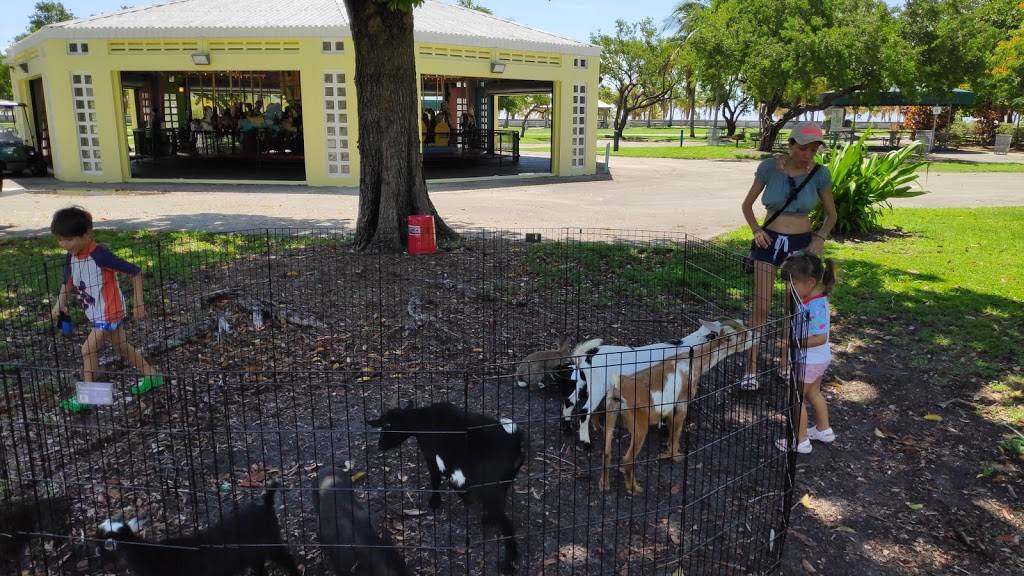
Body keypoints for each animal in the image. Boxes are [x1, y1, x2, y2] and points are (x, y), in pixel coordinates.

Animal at [96, 481, 299, 573]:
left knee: (287, 559)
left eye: (101, 540)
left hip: (271, 542)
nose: (97, 552)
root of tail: (266, 505)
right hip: (256, 552)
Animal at [368, 401, 524, 569]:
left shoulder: (432, 456)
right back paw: (487, 519)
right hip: (504, 479)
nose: (380, 445)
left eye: (387, 426)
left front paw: (435, 502)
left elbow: (436, 479)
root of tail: (516, 443)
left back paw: (508, 563)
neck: (422, 421)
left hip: (490, 484)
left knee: (505, 522)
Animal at [565, 317, 749, 444]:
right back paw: (586, 442)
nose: (752, 335)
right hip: (598, 386)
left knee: (569, 401)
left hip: (583, 381)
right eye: (733, 335)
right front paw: (664, 428)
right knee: (584, 411)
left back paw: (567, 427)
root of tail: (588, 354)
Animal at [598, 317, 753, 494]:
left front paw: (666, 451)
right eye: (741, 334)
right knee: (626, 460)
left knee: (606, 452)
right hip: (639, 425)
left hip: (611, 411)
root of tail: (619, 386)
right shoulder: (682, 403)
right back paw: (635, 489)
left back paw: (604, 484)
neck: (693, 361)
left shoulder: (670, 407)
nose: (754, 335)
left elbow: (672, 429)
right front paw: (676, 456)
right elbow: (677, 431)